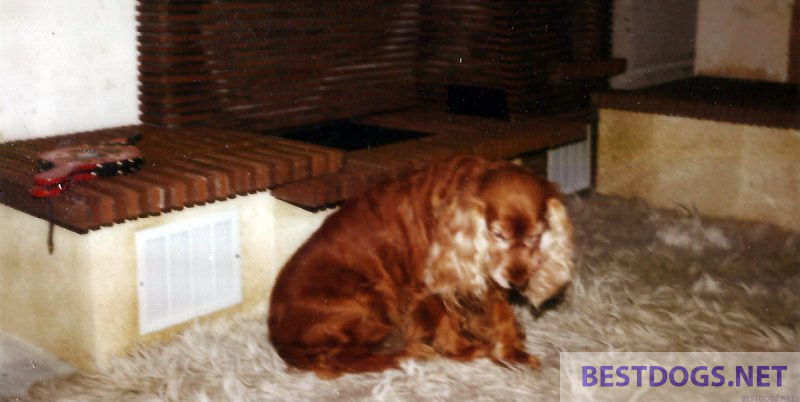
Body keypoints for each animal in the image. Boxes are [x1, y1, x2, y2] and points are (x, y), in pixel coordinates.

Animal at [268, 154, 576, 376]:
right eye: (498, 234)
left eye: (536, 236)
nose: (518, 281)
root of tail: (277, 336)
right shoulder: (435, 281)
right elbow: (447, 322)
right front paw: (466, 350)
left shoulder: (486, 276)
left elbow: (501, 314)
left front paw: (512, 353)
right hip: (370, 301)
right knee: (337, 360)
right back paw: (407, 354)